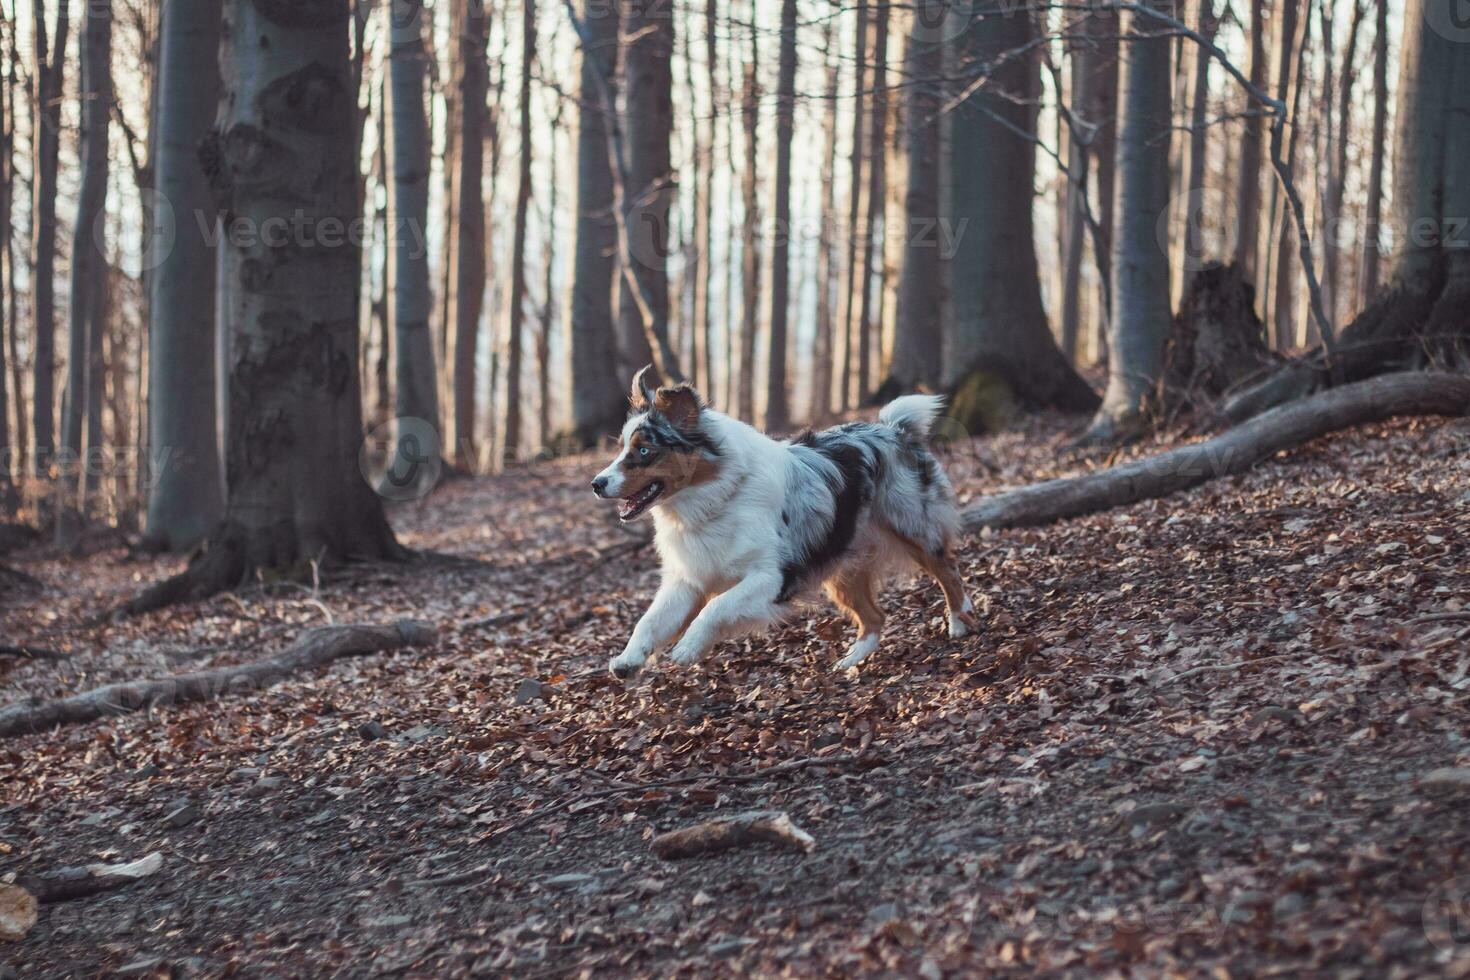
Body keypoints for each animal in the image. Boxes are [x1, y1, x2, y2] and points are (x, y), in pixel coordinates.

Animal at [585, 364, 976, 678]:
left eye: (644, 450)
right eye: (621, 448)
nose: (596, 484)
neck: (714, 498)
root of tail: (894, 430)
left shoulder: (771, 576)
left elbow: (716, 607)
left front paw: (689, 647)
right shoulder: (688, 579)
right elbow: (649, 620)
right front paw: (629, 659)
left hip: (914, 529)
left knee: (949, 571)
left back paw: (960, 620)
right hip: (840, 562)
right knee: (875, 618)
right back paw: (849, 662)